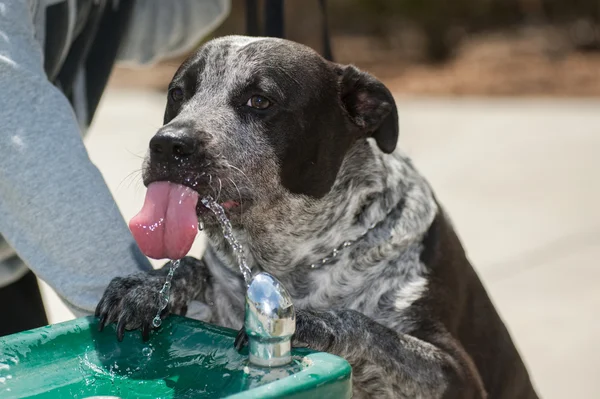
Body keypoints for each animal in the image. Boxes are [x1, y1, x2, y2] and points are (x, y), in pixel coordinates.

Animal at [95, 36, 540, 398]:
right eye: (177, 94)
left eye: (260, 101)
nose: (168, 144)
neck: (292, 260)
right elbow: (193, 269)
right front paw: (150, 285)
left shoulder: (456, 374)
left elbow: (372, 330)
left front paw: (313, 322)